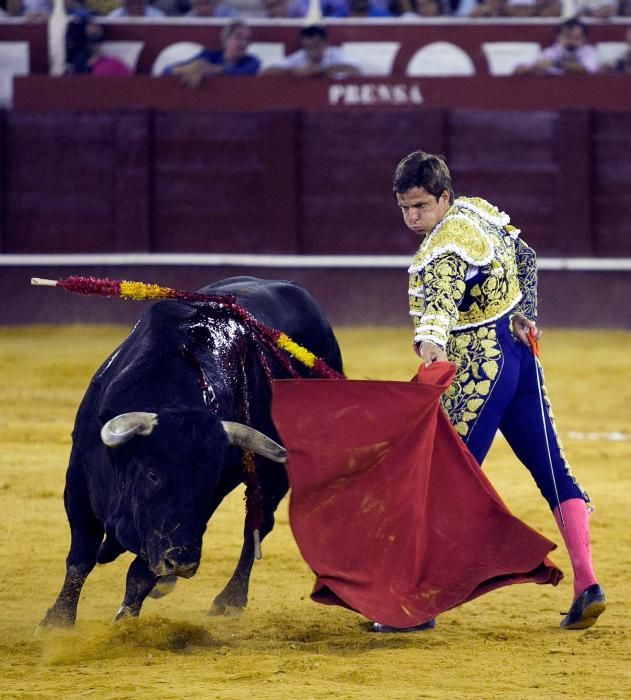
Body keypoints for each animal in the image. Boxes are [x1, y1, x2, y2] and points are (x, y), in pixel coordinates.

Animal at [41, 276, 344, 628]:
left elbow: (139, 574)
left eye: (209, 480)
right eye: (153, 474)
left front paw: (125, 626)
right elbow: (81, 555)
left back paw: (228, 601)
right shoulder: (77, 483)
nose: (184, 563)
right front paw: (57, 620)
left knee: (257, 526)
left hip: (274, 475)